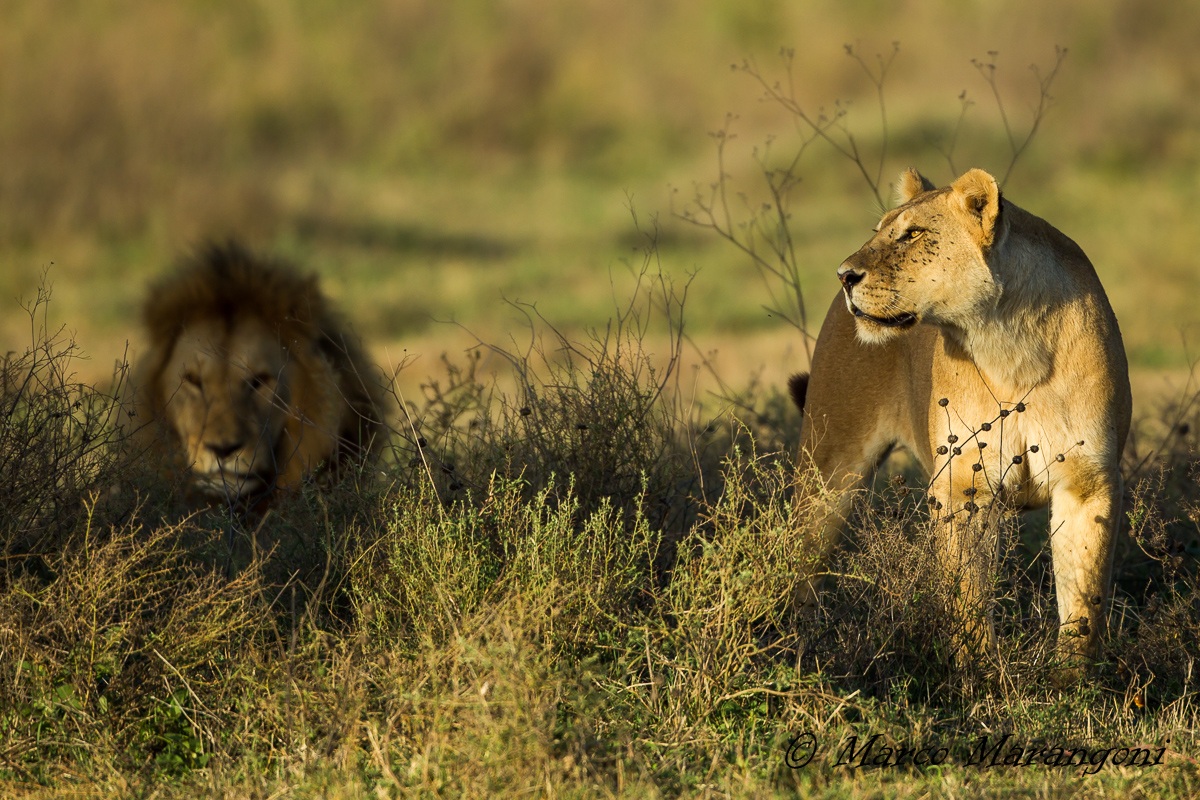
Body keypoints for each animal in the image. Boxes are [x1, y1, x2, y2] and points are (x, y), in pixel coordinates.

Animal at [791, 167, 1131, 670]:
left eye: (913, 234)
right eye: (878, 231)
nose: (843, 275)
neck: (1009, 346)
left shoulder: (1087, 482)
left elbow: (1083, 601)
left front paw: (1072, 681)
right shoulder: (961, 487)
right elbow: (967, 594)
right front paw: (978, 672)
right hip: (829, 470)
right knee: (800, 558)